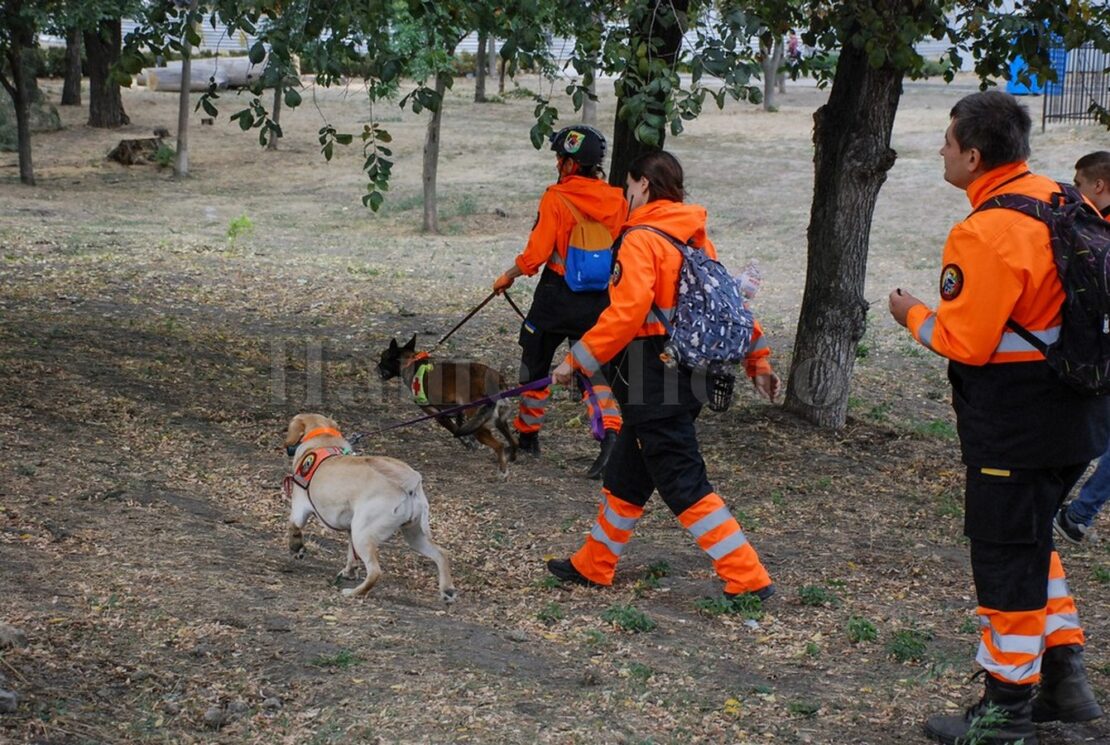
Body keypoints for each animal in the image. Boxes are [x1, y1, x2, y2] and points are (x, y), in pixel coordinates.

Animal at [288, 413, 461, 603]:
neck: (324, 440)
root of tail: (409, 482)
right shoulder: (350, 528)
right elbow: (351, 553)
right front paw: (349, 571)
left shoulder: (299, 509)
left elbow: (293, 526)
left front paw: (296, 548)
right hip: (413, 535)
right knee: (441, 553)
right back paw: (447, 590)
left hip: (363, 534)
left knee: (375, 572)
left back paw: (353, 592)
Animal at [377, 335, 519, 475]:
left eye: (382, 358)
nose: (376, 367)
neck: (410, 362)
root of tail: (495, 378)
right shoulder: (458, 411)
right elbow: (460, 425)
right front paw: (469, 440)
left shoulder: (438, 415)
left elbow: (455, 429)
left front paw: (467, 443)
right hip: (498, 421)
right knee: (514, 441)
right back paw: (512, 457)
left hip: (480, 423)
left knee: (499, 445)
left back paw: (503, 469)